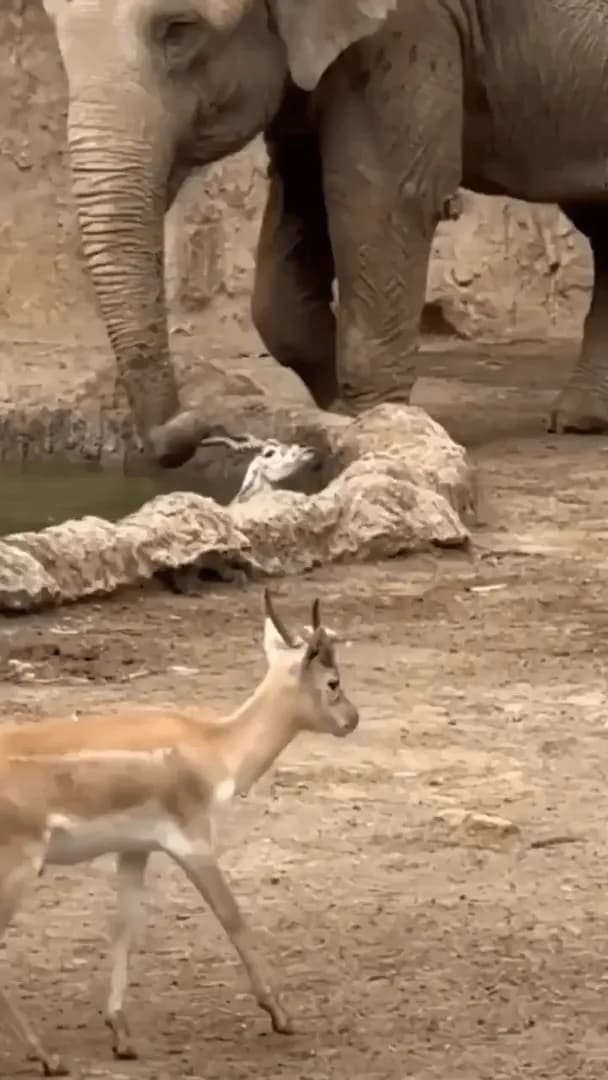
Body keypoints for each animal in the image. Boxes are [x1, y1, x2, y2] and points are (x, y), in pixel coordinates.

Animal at [0, 590, 358, 1077]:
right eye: (334, 681)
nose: (352, 719)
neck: (216, 747)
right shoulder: (193, 843)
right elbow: (233, 917)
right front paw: (282, 1015)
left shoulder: (135, 849)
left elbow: (124, 927)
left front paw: (121, 1035)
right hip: (18, 865)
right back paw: (48, 1057)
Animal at [44, 0, 608, 468]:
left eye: (180, 29)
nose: (181, 431)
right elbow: (300, 189)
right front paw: (339, 418)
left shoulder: (411, 23)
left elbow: (378, 193)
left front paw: (379, 432)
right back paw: (582, 420)